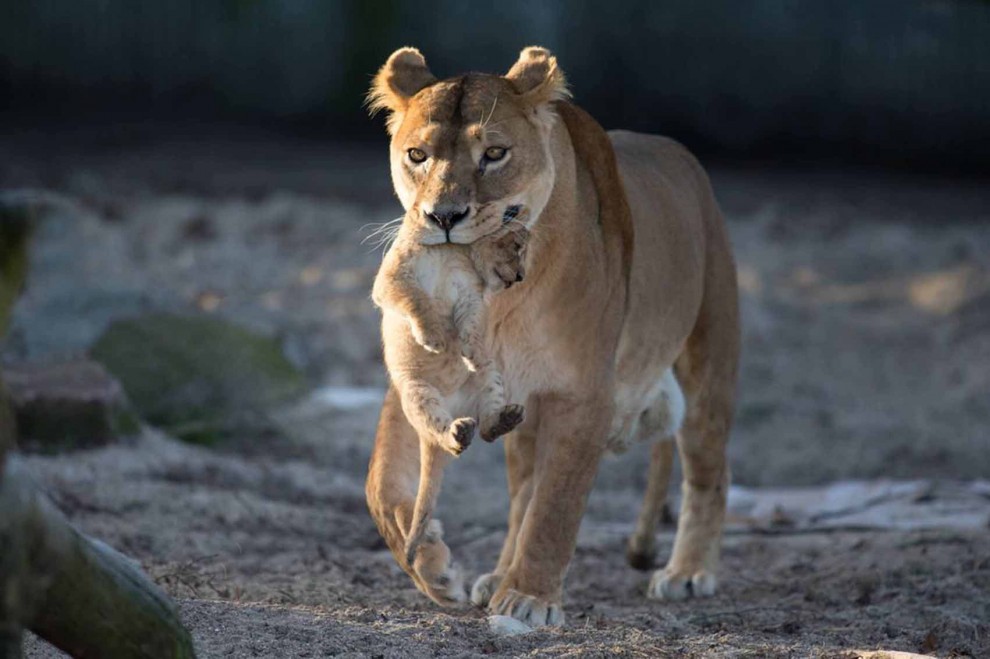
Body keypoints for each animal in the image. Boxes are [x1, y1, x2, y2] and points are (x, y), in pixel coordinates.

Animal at [371, 216, 529, 593]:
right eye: (517, 247)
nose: (521, 277)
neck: (451, 253)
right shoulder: (391, 279)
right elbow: (415, 300)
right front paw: (434, 338)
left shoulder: (470, 298)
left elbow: (470, 326)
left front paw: (466, 350)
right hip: (418, 393)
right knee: (439, 432)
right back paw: (455, 434)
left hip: (491, 378)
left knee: (486, 428)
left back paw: (503, 418)